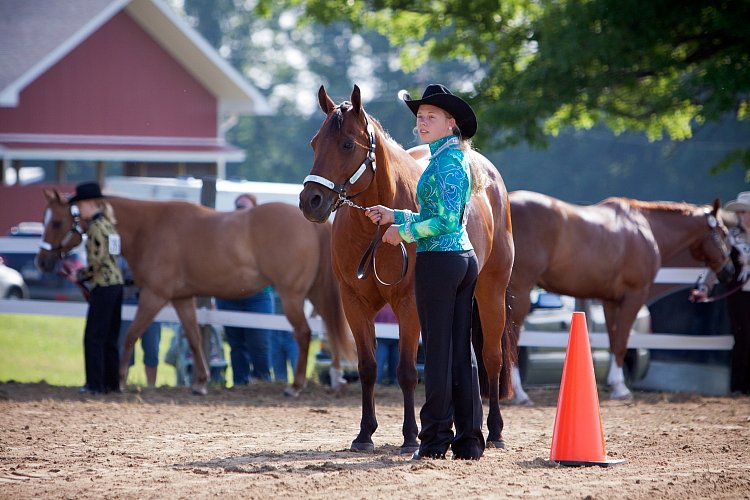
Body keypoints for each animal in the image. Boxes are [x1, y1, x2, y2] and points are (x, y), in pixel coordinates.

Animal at [36, 193, 360, 396]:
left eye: (57, 222)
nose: (43, 261)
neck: (151, 228)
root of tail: (315, 223)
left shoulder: (154, 295)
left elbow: (131, 335)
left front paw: (120, 379)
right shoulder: (182, 298)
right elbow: (193, 337)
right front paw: (200, 383)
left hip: (292, 294)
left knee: (304, 334)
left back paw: (295, 386)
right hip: (315, 292)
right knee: (330, 329)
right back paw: (335, 378)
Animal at [300, 86, 516, 454]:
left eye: (346, 144)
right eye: (314, 143)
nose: (310, 202)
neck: (373, 230)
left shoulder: (408, 304)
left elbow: (405, 371)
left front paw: (410, 436)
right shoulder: (354, 303)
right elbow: (368, 367)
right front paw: (364, 435)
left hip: (492, 292)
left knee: (491, 358)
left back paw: (495, 433)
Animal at [512, 189, 736, 400]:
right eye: (724, 233)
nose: (730, 271)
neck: (645, 228)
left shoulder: (610, 301)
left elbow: (613, 340)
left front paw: (614, 384)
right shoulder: (634, 296)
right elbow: (621, 342)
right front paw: (621, 389)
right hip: (520, 292)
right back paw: (519, 394)